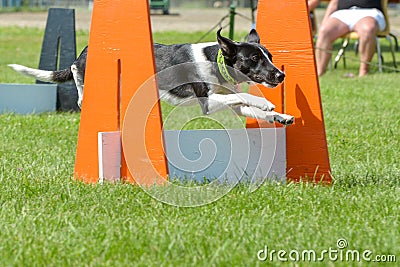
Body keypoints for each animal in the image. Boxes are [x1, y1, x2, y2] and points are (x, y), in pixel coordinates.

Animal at [9, 29, 294, 125]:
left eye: (269, 56)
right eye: (254, 59)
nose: (280, 75)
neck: (217, 62)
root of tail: (86, 50)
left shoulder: (227, 102)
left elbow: (244, 103)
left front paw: (280, 116)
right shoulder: (208, 102)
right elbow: (245, 96)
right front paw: (266, 103)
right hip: (86, 68)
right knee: (76, 70)